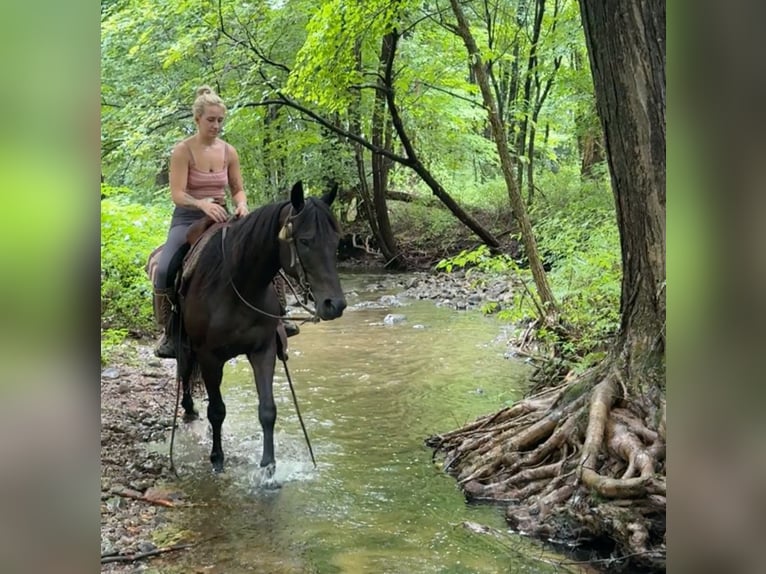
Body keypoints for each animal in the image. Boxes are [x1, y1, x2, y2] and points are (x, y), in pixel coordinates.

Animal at [174, 183, 344, 476]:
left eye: (336, 241)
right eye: (305, 241)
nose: (335, 304)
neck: (237, 285)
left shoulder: (263, 349)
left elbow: (267, 409)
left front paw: (268, 466)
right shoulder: (209, 357)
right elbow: (217, 410)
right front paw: (217, 458)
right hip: (186, 347)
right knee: (185, 372)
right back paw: (188, 410)